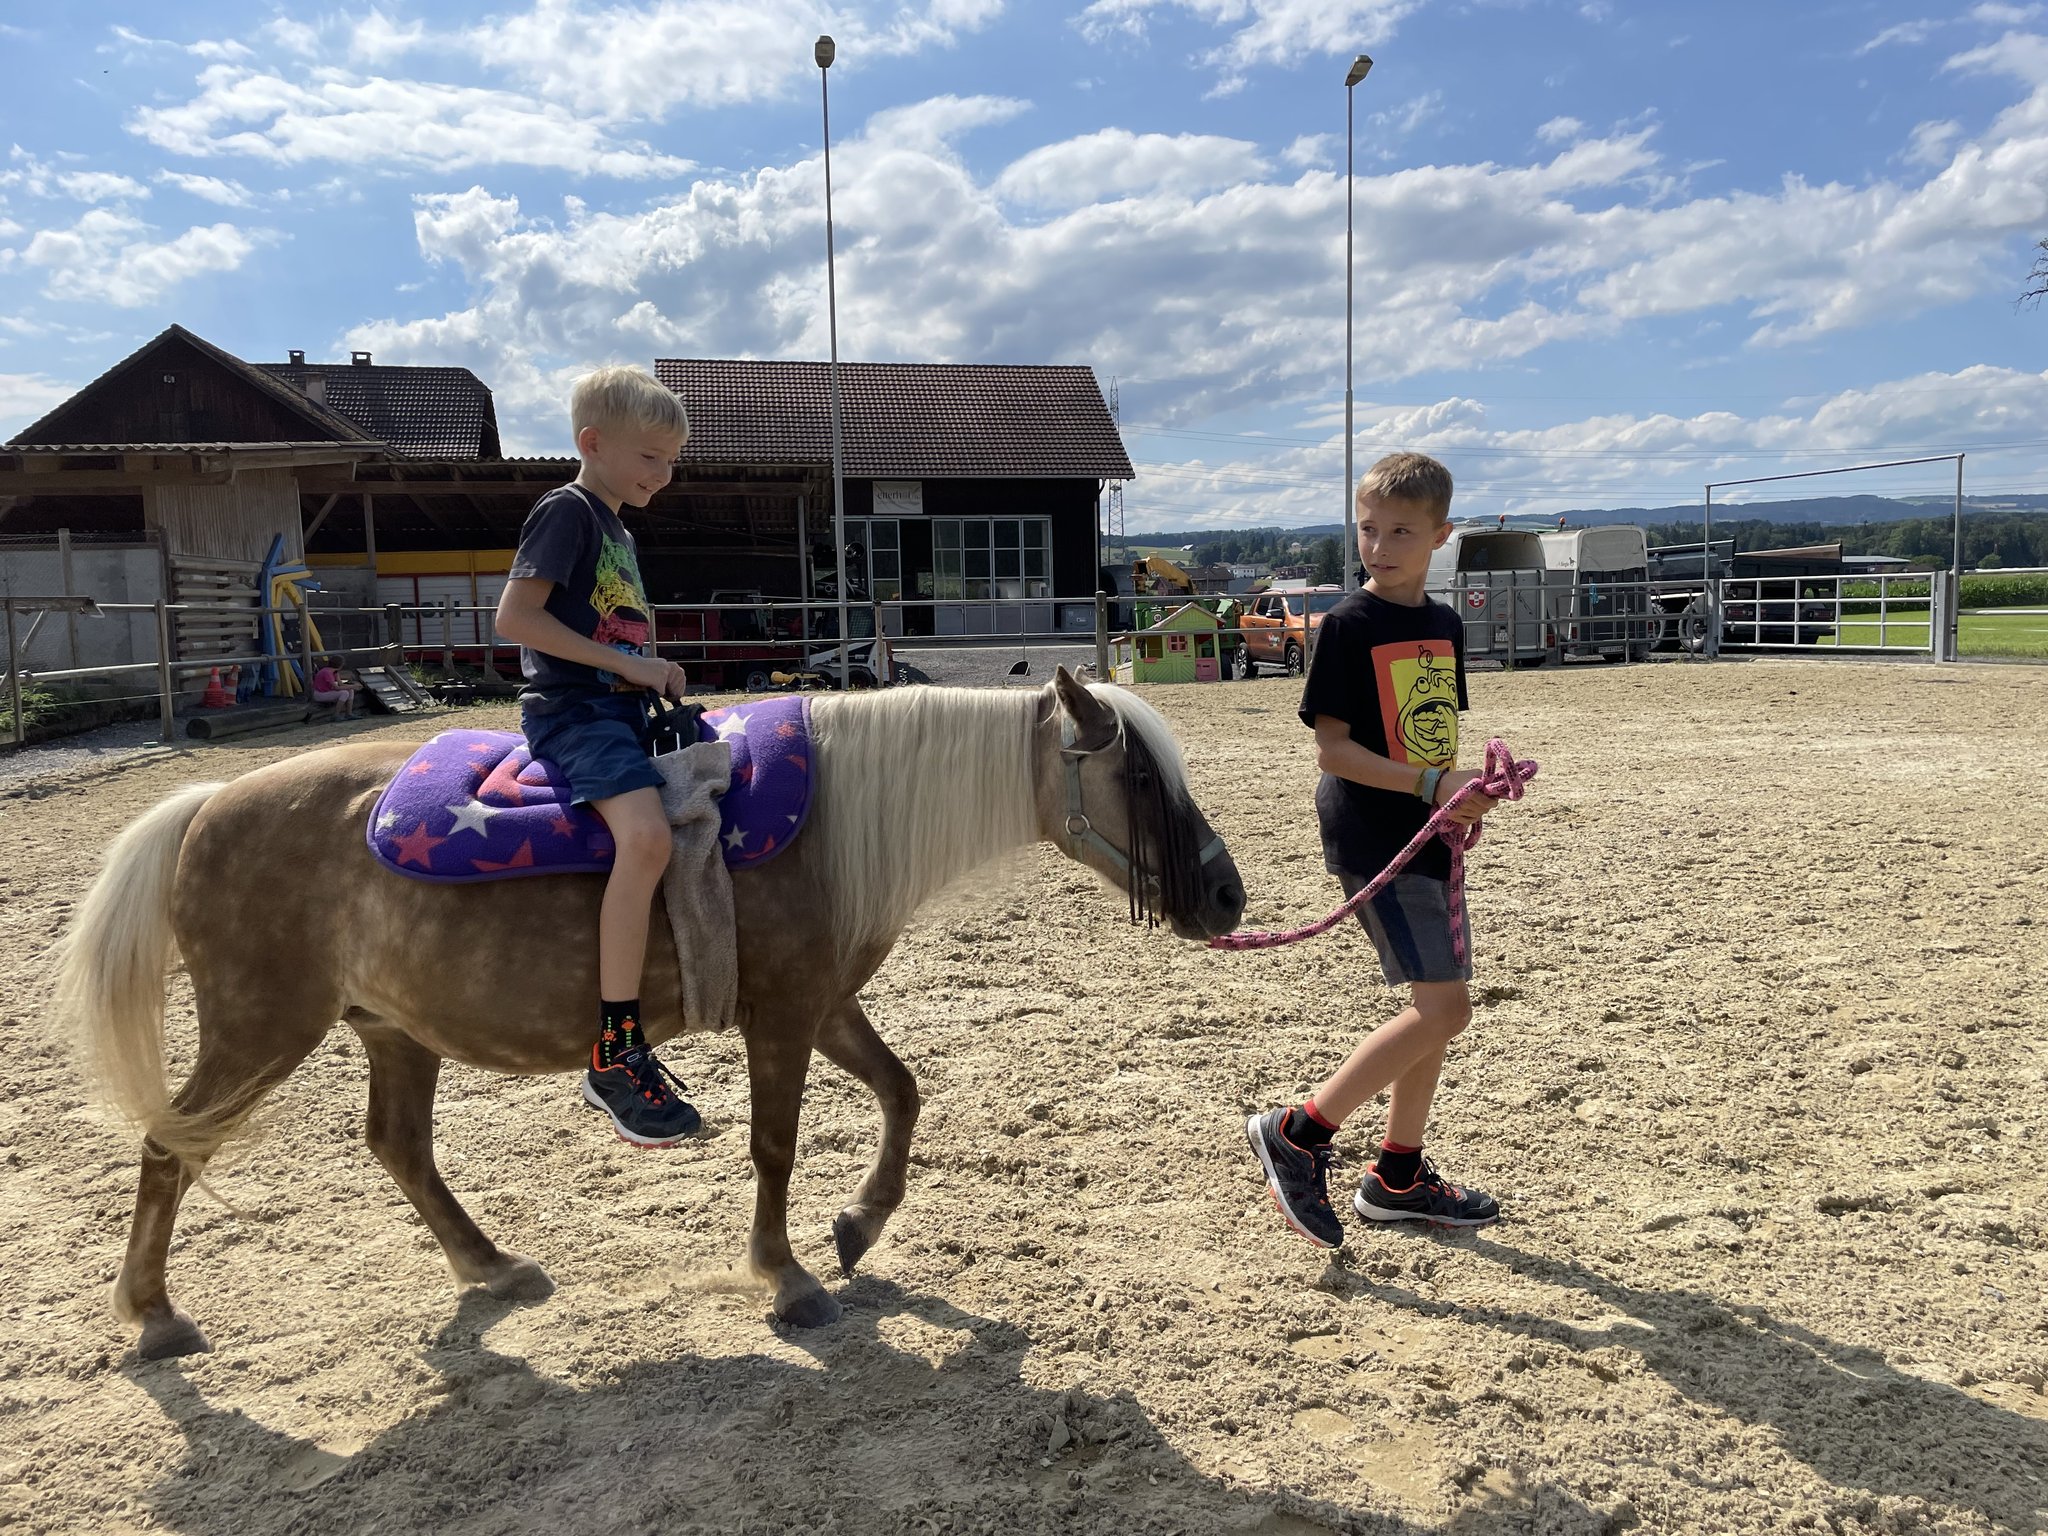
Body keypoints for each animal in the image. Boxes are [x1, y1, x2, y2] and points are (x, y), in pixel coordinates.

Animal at [56, 668, 1246, 1360]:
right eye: (1141, 778)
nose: (1229, 896)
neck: (833, 818)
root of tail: (206, 803)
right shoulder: (783, 1015)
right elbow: (776, 1143)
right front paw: (787, 1280)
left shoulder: (821, 1002)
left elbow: (904, 1092)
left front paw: (857, 1226)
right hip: (259, 1028)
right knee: (170, 1143)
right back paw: (153, 1315)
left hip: (389, 1029)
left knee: (397, 1143)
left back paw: (491, 1265)